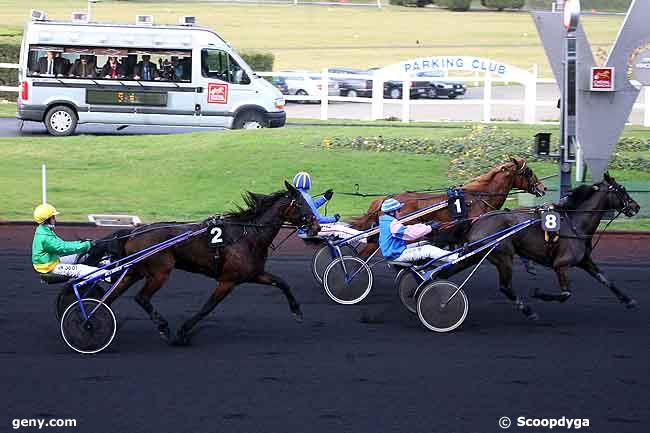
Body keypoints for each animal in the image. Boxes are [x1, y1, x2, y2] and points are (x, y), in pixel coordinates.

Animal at [76, 181, 318, 346]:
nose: (316, 226)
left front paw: (297, 311)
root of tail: (135, 232)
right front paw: (183, 332)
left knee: (111, 298)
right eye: (301, 204)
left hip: (134, 271)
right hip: (160, 272)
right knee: (141, 297)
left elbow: (282, 282)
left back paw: (90, 321)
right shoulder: (228, 280)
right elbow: (207, 308)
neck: (247, 235)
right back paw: (161, 327)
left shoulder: (253, 274)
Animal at [440, 173, 636, 320]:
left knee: (446, 272)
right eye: (622, 190)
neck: (575, 223)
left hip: (475, 255)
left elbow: (605, 279)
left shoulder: (584, 260)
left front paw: (628, 300)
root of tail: (476, 222)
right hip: (503, 257)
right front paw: (539, 293)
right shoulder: (561, 265)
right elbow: (566, 294)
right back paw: (528, 311)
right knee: (505, 287)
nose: (636, 206)